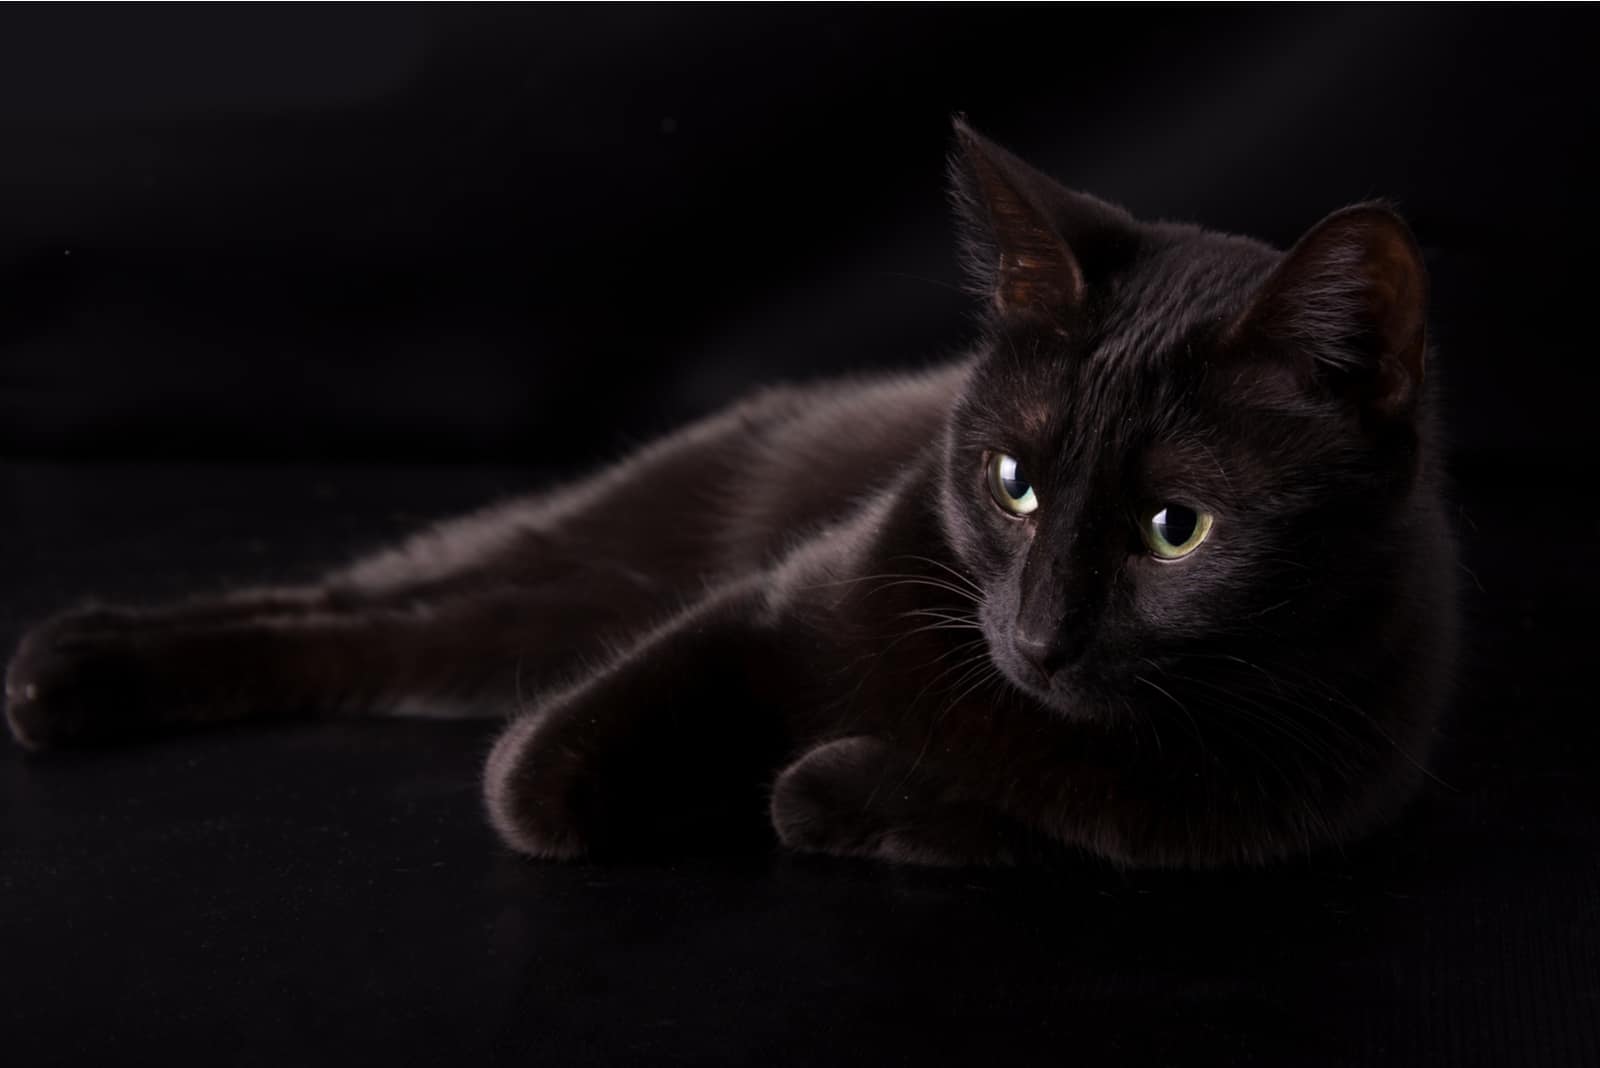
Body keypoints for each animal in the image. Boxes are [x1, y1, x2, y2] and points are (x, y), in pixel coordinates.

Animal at [0, 120, 1459, 869]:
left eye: (1176, 530)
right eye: (1013, 485)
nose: (1040, 637)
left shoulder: (1245, 810)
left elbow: (989, 803)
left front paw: (823, 780)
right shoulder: (773, 602)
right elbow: (538, 773)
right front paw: (586, 788)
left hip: (528, 612)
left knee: (384, 636)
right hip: (584, 546)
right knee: (366, 598)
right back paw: (65, 665)